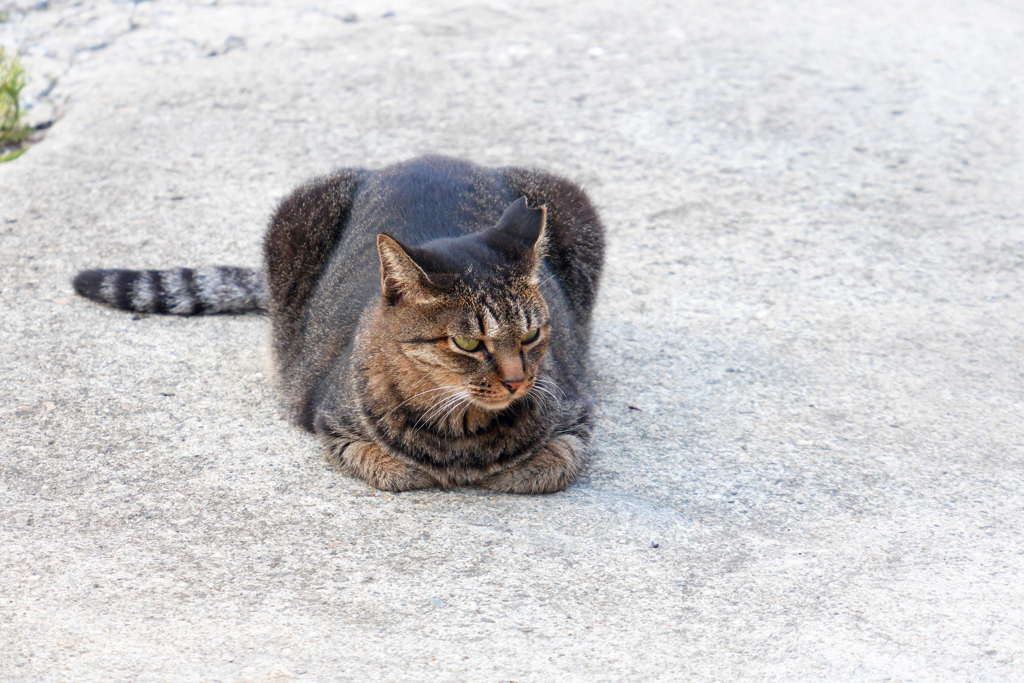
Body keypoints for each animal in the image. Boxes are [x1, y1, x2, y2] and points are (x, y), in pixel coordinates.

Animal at [75, 157, 602, 493]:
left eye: (531, 334)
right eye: (468, 342)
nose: (518, 380)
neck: (460, 429)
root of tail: (432, 156)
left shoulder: (576, 416)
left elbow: (544, 465)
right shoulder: (330, 423)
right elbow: (394, 469)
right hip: (295, 216)